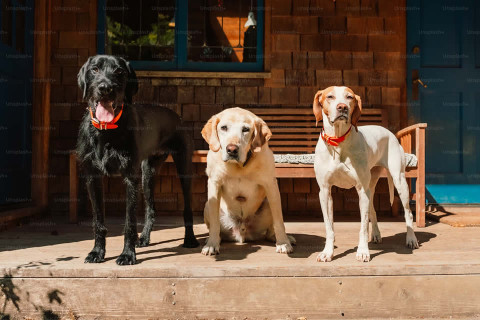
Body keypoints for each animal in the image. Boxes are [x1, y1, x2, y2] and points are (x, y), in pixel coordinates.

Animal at [76, 55, 199, 264]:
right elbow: (98, 220)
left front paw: (127, 254)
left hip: (184, 168)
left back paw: (189, 239)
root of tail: (176, 115)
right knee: (151, 209)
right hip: (147, 173)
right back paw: (144, 238)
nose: (105, 88)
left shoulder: (130, 178)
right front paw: (97, 252)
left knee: (187, 208)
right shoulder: (92, 177)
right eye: (94, 69)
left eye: (119, 71)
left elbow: (129, 221)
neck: (106, 130)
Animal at [200, 107, 296, 255]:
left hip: (268, 203)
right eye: (223, 127)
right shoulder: (214, 184)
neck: (239, 166)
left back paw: (281, 238)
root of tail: (242, 232)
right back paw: (212, 239)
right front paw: (212, 244)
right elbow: (215, 224)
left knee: (270, 231)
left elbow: (279, 221)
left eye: (245, 129)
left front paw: (283, 243)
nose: (232, 149)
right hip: (207, 205)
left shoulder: (271, 185)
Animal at [314, 85, 418, 262]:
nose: (342, 107)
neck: (338, 141)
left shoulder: (361, 190)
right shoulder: (325, 191)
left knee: (408, 214)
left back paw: (411, 239)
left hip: (399, 181)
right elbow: (329, 228)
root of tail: (389, 132)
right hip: (371, 186)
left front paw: (363, 251)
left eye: (349, 97)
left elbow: (362, 227)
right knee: (372, 209)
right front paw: (328, 252)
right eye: (330, 96)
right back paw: (376, 234)